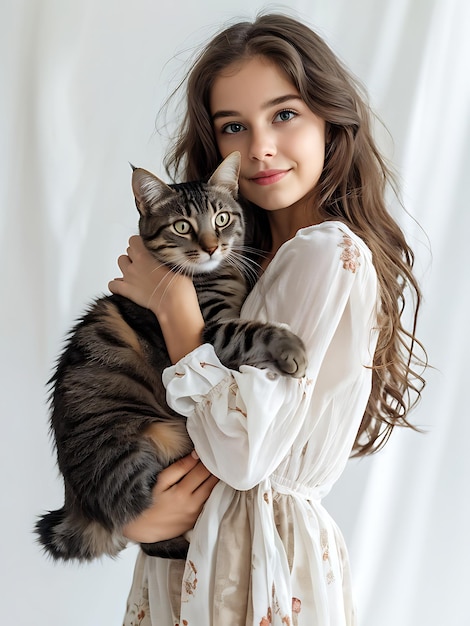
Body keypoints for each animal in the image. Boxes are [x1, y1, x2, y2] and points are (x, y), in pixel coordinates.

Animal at [35, 151, 306, 560]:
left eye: (222, 219)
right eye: (182, 226)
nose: (211, 247)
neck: (217, 275)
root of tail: (77, 506)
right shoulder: (213, 330)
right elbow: (250, 330)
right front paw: (290, 348)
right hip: (147, 445)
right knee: (143, 529)